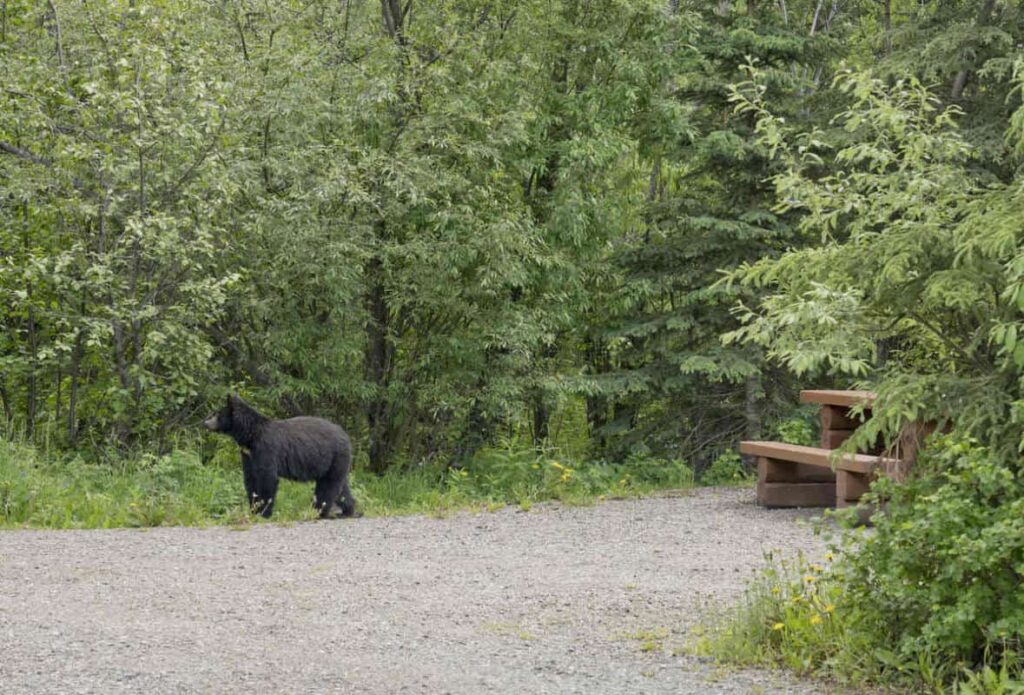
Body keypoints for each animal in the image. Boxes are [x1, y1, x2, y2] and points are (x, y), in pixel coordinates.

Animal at [201, 395, 358, 519]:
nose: (205, 422)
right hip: (334, 463)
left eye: (217, 414)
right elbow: (250, 478)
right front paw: (253, 509)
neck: (251, 435)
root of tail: (346, 436)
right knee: (341, 487)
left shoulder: (266, 449)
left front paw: (263, 512)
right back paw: (348, 510)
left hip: (335, 457)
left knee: (328, 487)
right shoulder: (248, 455)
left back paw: (318, 512)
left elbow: (267, 478)